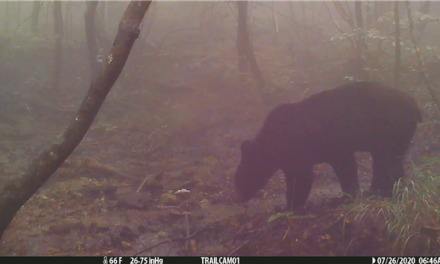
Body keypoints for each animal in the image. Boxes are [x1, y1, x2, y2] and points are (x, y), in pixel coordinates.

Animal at [234, 81, 422, 209]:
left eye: (239, 178)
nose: (239, 197)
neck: (274, 145)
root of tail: (414, 103)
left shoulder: (306, 146)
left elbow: (306, 176)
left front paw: (293, 206)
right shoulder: (293, 158)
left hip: (390, 129)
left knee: (388, 160)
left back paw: (388, 191)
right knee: (385, 160)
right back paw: (377, 190)